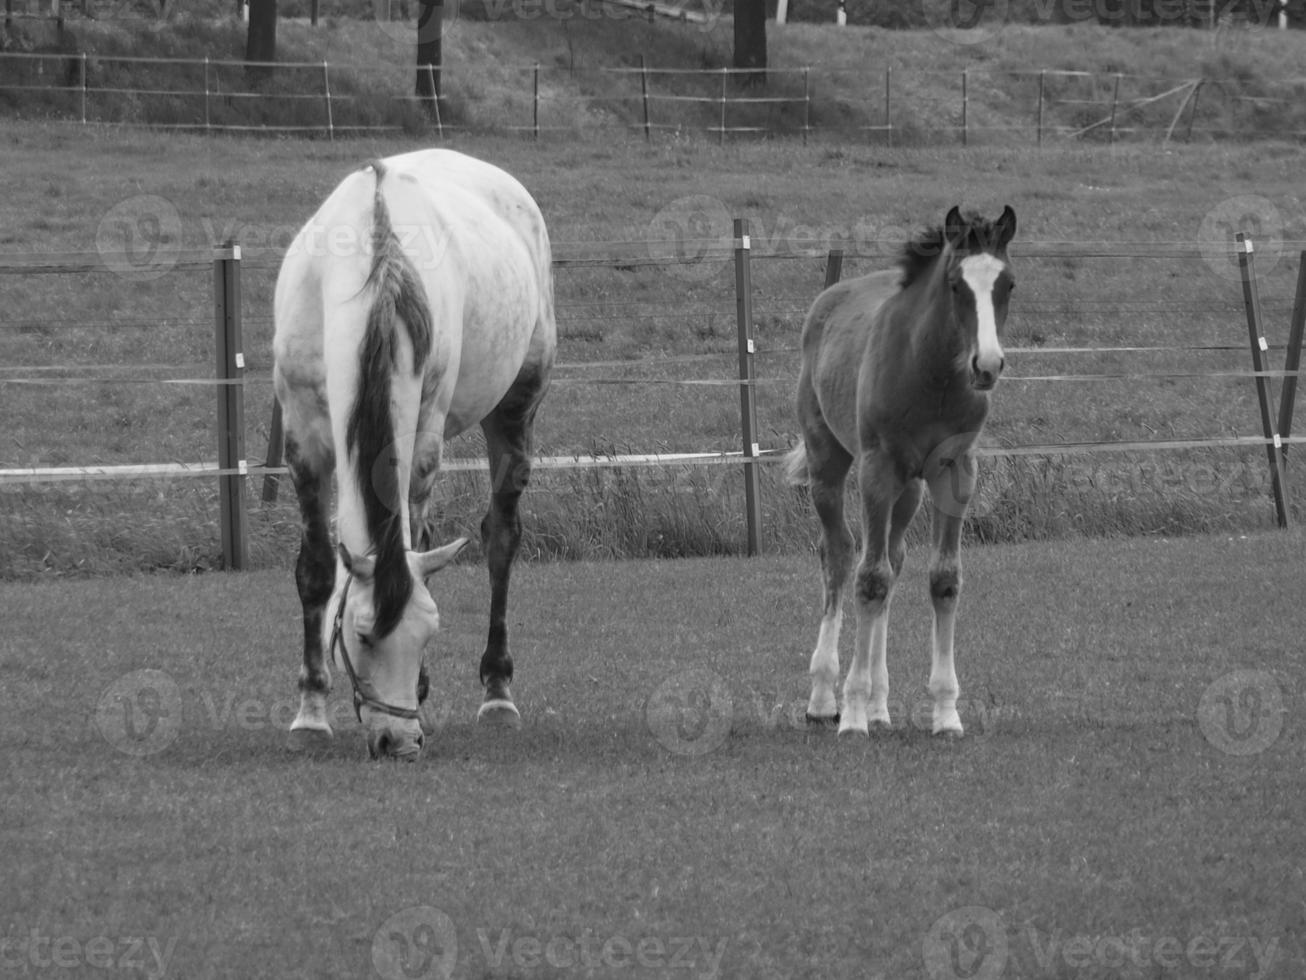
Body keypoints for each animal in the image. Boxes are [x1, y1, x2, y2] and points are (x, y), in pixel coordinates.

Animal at [272, 149, 558, 763]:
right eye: (359, 635)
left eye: (428, 634)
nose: (398, 742)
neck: (371, 278)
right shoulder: (303, 437)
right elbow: (315, 571)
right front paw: (310, 714)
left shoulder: (423, 441)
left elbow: (418, 543)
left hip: (516, 408)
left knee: (502, 539)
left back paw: (498, 695)